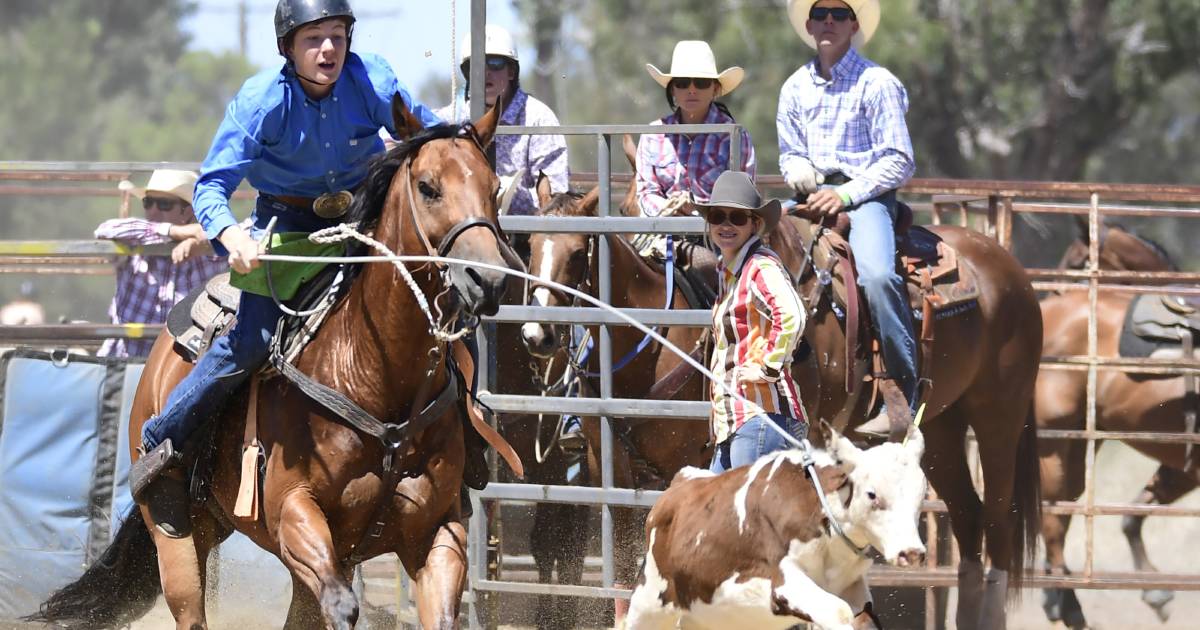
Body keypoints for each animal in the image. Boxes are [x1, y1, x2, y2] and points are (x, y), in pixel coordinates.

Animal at [34, 98, 516, 628]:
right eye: (428, 187)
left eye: (494, 188)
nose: (488, 279)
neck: (378, 376)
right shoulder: (293, 514)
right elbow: (342, 605)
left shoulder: (436, 533)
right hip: (175, 530)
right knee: (190, 602)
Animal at [624, 429, 931, 624]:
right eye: (872, 494)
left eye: (921, 494)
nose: (912, 552)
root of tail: (682, 480)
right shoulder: (783, 583)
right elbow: (837, 611)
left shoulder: (853, 589)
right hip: (648, 604)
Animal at [1041, 218, 1190, 624]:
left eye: (1077, 263)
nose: (1053, 291)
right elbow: (1132, 517)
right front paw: (1156, 593)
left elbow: (1132, 515)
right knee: (1051, 512)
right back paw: (1064, 601)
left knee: (1059, 510)